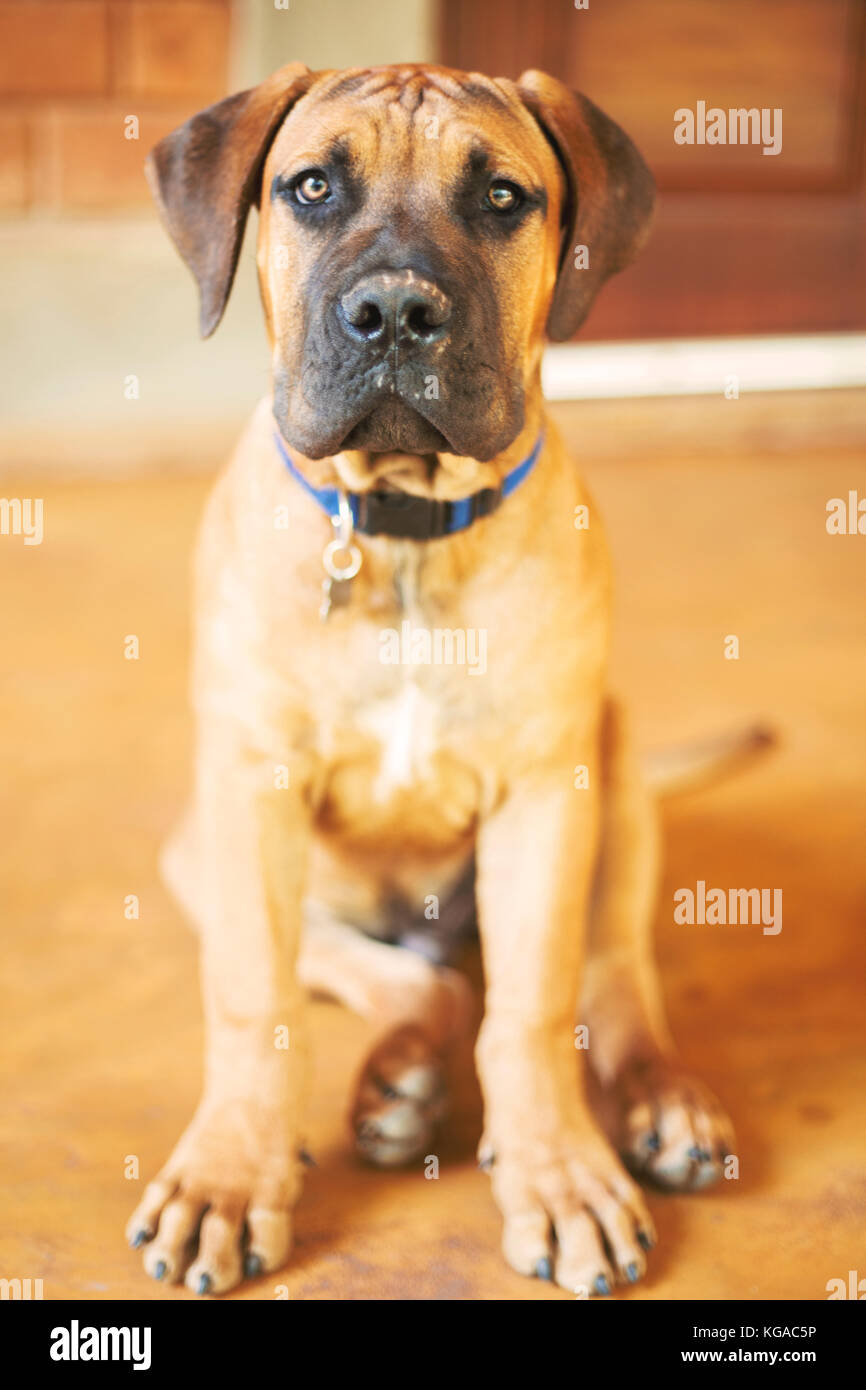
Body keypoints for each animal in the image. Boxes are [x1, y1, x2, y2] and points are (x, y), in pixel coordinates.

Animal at [128, 65, 733, 1295]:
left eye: (502, 197)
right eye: (311, 187)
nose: (396, 313)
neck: (401, 528)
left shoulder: (547, 792)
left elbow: (536, 1010)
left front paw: (558, 1168)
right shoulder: (250, 790)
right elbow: (251, 996)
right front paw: (229, 1173)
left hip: (614, 770)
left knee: (608, 977)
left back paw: (660, 1102)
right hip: (203, 855)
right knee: (413, 982)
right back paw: (400, 1080)